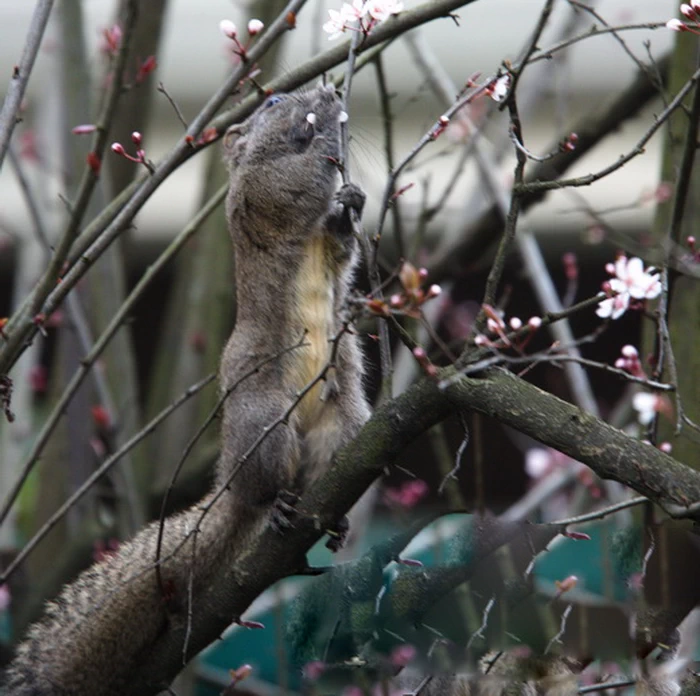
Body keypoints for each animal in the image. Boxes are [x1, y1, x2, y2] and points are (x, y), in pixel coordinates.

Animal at [2, 84, 370, 692]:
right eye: (272, 106)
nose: (331, 91)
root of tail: (229, 484)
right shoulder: (261, 198)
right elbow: (291, 189)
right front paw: (326, 148)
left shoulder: (325, 242)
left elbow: (341, 247)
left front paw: (353, 199)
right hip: (265, 423)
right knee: (263, 489)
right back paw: (273, 505)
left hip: (344, 426)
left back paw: (334, 517)